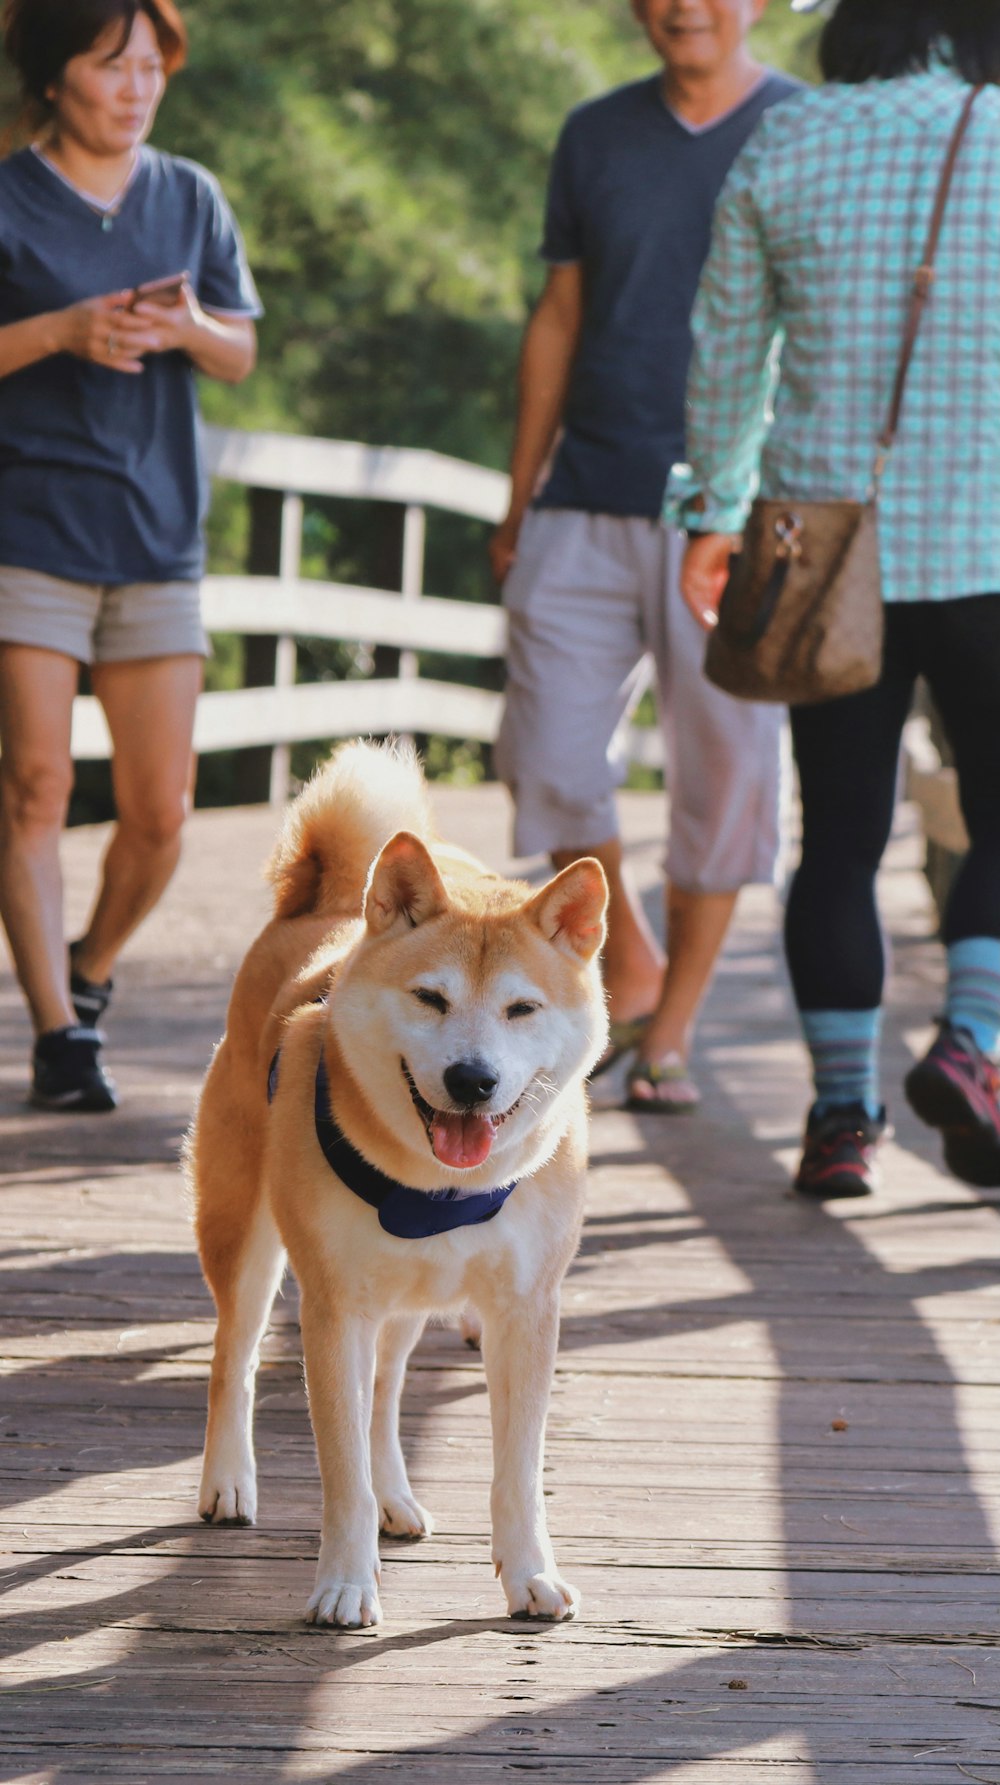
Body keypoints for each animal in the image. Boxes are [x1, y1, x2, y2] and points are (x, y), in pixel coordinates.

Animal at [189, 738, 610, 1635]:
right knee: (233, 1357)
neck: (441, 1187)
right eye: (431, 997)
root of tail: (317, 910)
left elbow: (517, 1471)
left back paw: (395, 1494)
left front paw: (530, 1573)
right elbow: (338, 1468)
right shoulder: (333, 1309)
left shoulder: (526, 1309)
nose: (472, 1079)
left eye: (521, 1009)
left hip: (409, 1300)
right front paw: (346, 1584)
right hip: (248, 1243)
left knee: (384, 1397)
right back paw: (228, 1479)